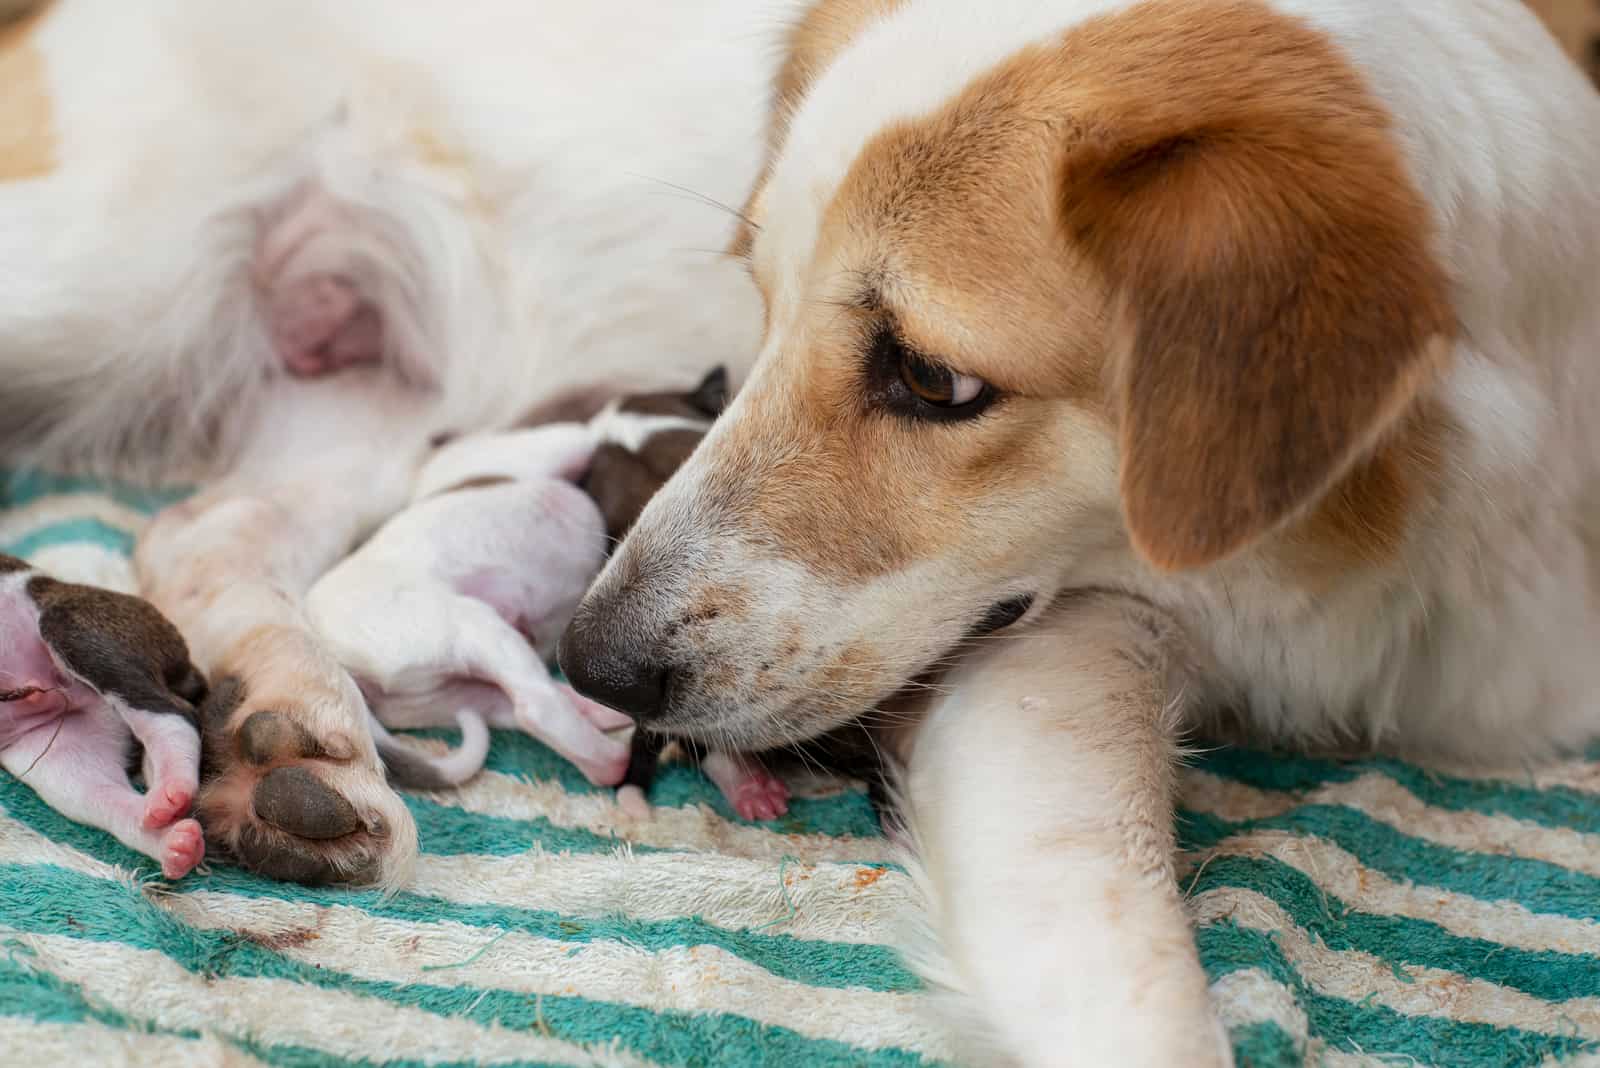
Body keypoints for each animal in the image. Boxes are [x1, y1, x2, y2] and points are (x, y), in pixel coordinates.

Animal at [0, 549, 209, 876]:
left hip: (76, 628)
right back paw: (171, 841)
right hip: (58, 756)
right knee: (107, 799)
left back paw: (173, 787)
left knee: (174, 714)